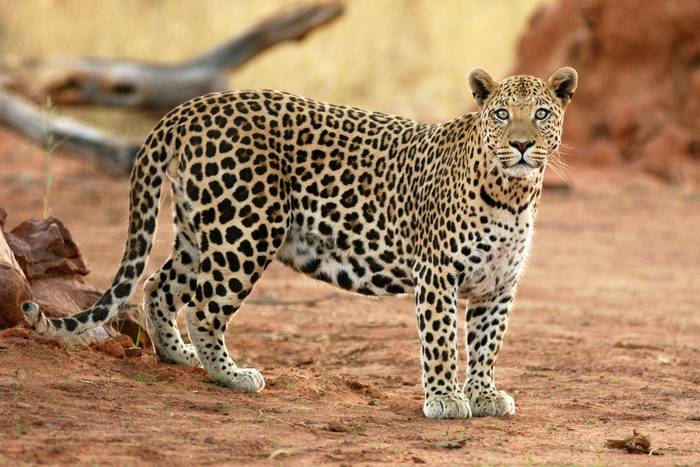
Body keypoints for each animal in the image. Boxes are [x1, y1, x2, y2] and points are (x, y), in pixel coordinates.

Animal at [22, 66, 577, 419]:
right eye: (502, 114)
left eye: (542, 114)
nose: (522, 145)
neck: (513, 193)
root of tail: (190, 107)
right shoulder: (438, 275)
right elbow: (441, 340)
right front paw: (443, 399)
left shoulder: (498, 285)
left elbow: (487, 344)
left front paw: (484, 395)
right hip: (246, 228)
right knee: (204, 305)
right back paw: (230, 374)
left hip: (203, 228)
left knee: (160, 283)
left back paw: (177, 355)